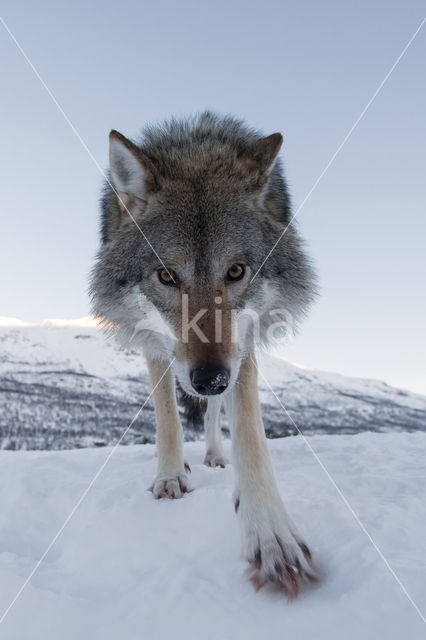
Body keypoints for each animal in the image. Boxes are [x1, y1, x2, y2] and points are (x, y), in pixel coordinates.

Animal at [91, 112, 322, 596]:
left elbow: (248, 427)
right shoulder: (154, 341)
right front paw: (169, 475)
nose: (210, 379)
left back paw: (216, 454)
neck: (196, 152)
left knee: (218, 412)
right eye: (166, 275)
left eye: (235, 271)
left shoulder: (243, 343)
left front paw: (269, 529)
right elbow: (167, 418)